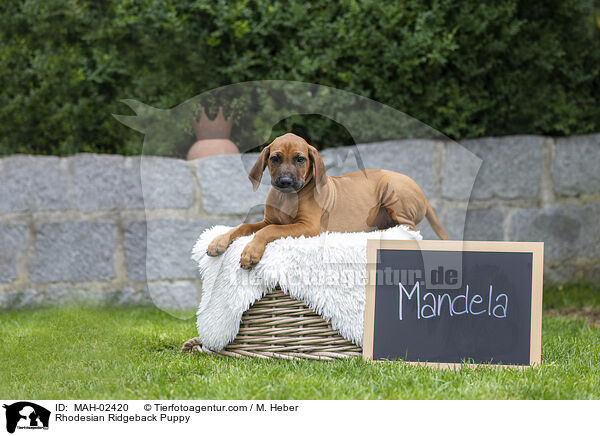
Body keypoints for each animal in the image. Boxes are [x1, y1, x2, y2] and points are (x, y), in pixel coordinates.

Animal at [206, 133, 446, 270]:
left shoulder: (308, 226)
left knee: (409, 228)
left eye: (300, 159)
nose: (284, 182)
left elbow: (269, 231)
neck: (288, 197)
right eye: (274, 158)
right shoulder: (268, 220)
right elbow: (244, 226)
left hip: (392, 189)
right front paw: (218, 241)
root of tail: (423, 194)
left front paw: (250, 252)